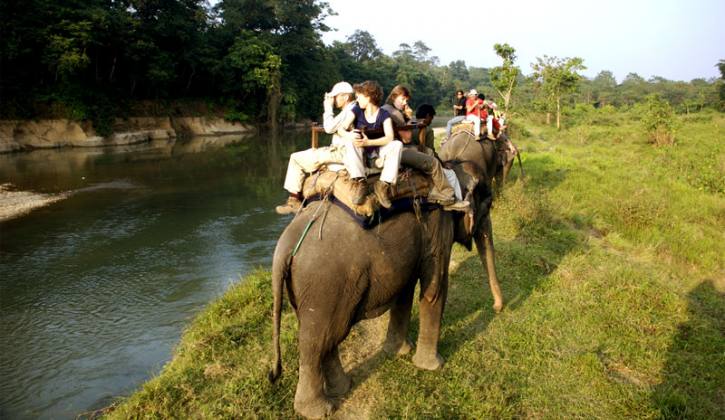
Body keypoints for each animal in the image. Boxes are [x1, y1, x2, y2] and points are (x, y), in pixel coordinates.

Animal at [268, 150, 500, 416]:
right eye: (488, 202)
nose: (497, 308)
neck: (453, 167)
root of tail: (286, 244)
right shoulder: (438, 229)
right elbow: (434, 288)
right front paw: (432, 366)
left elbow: (405, 290)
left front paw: (399, 352)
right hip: (324, 285)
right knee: (316, 343)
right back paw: (320, 410)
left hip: (308, 289)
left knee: (326, 337)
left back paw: (343, 387)